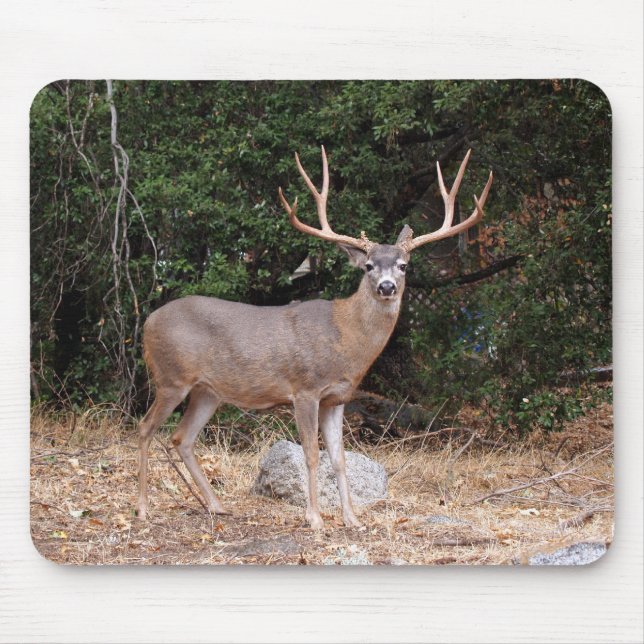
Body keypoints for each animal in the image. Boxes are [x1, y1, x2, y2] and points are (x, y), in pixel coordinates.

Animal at [136, 146, 493, 529]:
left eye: (403, 265)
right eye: (368, 266)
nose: (386, 287)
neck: (346, 339)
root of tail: (147, 322)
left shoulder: (337, 398)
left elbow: (339, 458)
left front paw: (352, 519)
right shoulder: (304, 389)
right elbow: (310, 454)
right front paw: (315, 518)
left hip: (207, 391)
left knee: (182, 437)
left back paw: (217, 505)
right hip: (171, 377)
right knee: (145, 428)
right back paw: (142, 508)